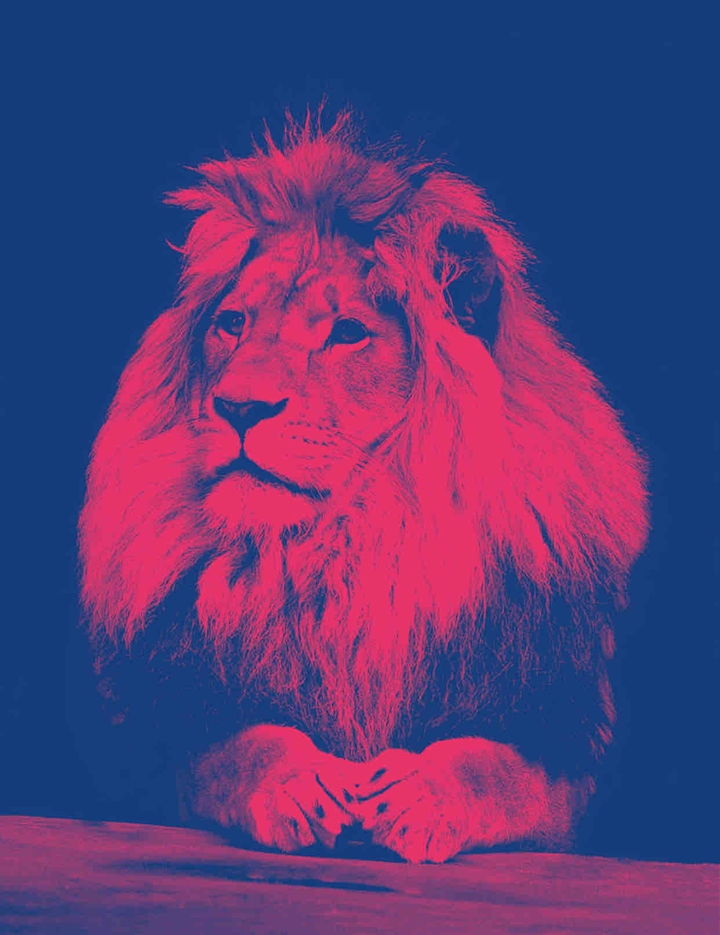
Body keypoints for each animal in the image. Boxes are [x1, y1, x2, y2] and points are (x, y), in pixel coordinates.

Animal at [78, 111, 649, 863]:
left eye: (347, 333)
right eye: (232, 324)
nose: (238, 407)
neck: (352, 549)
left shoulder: (567, 741)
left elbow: (500, 770)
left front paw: (423, 793)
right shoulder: (152, 741)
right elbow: (229, 750)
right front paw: (295, 784)